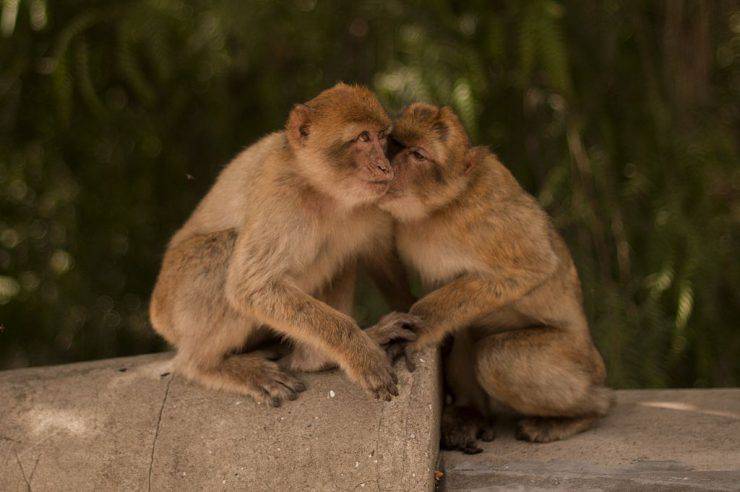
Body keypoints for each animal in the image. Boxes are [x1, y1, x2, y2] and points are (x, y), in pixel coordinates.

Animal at [147, 83, 420, 408]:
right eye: (363, 138)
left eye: (381, 137)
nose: (385, 166)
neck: (323, 190)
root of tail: (158, 314)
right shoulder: (279, 198)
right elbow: (252, 287)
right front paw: (361, 354)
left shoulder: (375, 202)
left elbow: (380, 256)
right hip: (181, 301)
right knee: (226, 248)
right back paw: (207, 366)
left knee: (339, 252)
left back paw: (315, 358)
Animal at [372, 104, 616, 454]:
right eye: (394, 142)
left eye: (417, 154)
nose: (388, 162)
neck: (438, 208)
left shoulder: (488, 211)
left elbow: (533, 266)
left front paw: (419, 323)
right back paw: (470, 411)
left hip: (578, 358)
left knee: (496, 359)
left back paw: (584, 413)